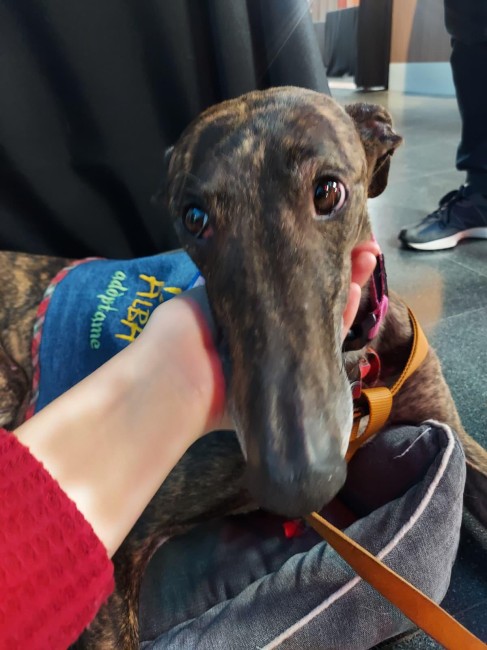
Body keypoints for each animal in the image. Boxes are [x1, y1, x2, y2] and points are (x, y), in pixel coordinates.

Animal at [1, 87, 486, 648]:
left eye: (328, 192)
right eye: (193, 218)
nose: (297, 481)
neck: (357, 364)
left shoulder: (454, 432)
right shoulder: (116, 548)